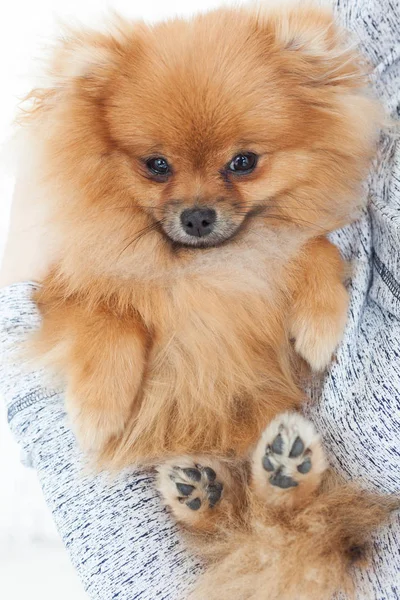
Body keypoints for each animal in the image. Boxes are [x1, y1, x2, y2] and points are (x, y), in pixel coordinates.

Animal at [22, 3, 396, 596]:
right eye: (156, 165)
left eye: (243, 162)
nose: (198, 216)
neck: (204, 266)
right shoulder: (61, 286)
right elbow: (108, 319)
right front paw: (98, 409)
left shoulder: (277, 250)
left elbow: (316, 249)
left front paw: (319, 326)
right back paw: (203, 490)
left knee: (276, 520)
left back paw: (281, 472)